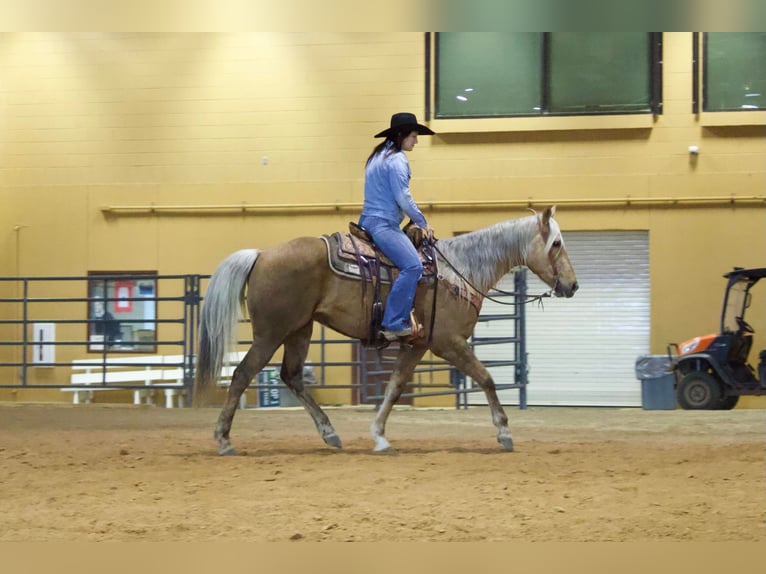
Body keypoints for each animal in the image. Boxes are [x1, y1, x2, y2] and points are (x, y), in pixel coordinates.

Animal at [195, 206, 580, 454]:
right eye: (556, 243)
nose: (573, 285)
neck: (459, 270)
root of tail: (261, 255)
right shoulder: (448, 342)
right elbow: (485, 378)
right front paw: (504, 432)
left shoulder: (417, 345)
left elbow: (394, 387)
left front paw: (379, 436)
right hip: (271, 334)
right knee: (242, 374)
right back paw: (224, 440)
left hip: (300, 330)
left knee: (291, 376)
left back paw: (330, 434)